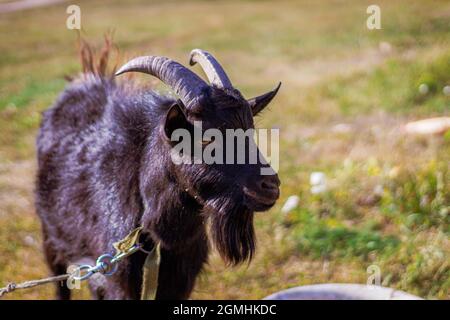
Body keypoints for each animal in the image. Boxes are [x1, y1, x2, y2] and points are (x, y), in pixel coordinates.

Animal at [36, 45, 282, 300]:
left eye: (250, 132)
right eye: (206, 138)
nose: (270, 186)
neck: (157, 237)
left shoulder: (180, 282)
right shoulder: (115, 280)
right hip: (51, 238)